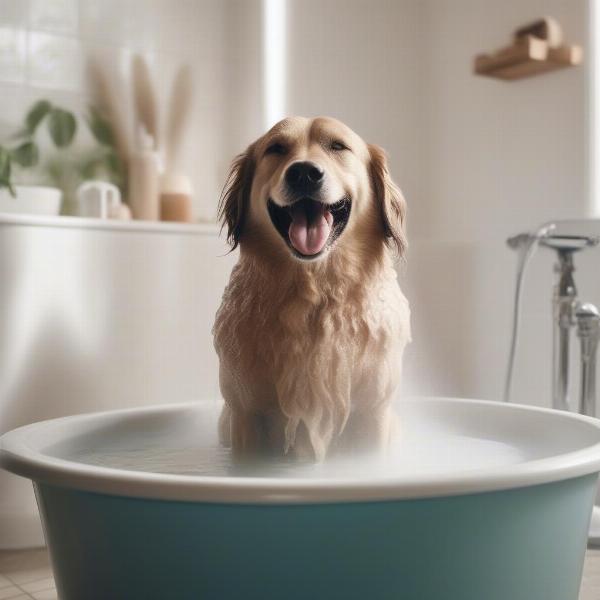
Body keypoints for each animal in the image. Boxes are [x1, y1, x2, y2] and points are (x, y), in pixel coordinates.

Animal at [213, 117, 410, 460]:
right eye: (276, 148)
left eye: (338, 146)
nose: (304, 172)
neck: (314, 292)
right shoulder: (247, 414)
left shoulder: (372, 413)